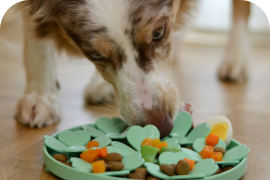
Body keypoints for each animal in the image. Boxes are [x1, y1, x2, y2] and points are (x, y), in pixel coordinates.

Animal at [14, 0, 251, 138]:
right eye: (95, 55)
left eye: (158, 33)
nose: (161, 126)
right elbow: (36, 36)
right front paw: (39, 98)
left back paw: (236, 60)